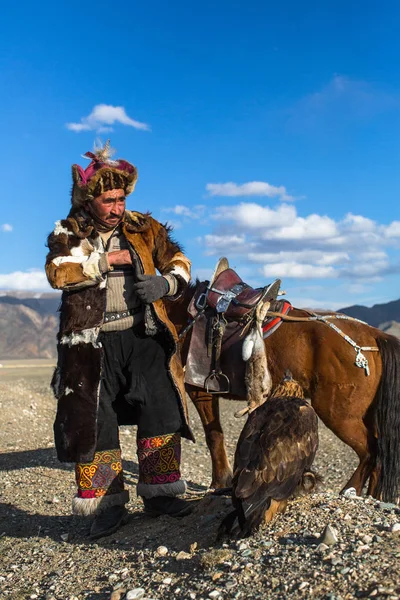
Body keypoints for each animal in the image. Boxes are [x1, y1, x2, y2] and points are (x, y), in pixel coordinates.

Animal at [167, 282, 400, 502]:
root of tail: (375, 334)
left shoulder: (199, 389)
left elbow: (213, 435)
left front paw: (218, 482)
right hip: (366, 414)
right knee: (381, 454)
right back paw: (373, 496)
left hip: (339, 414)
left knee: (370, 451)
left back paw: (350, 491)